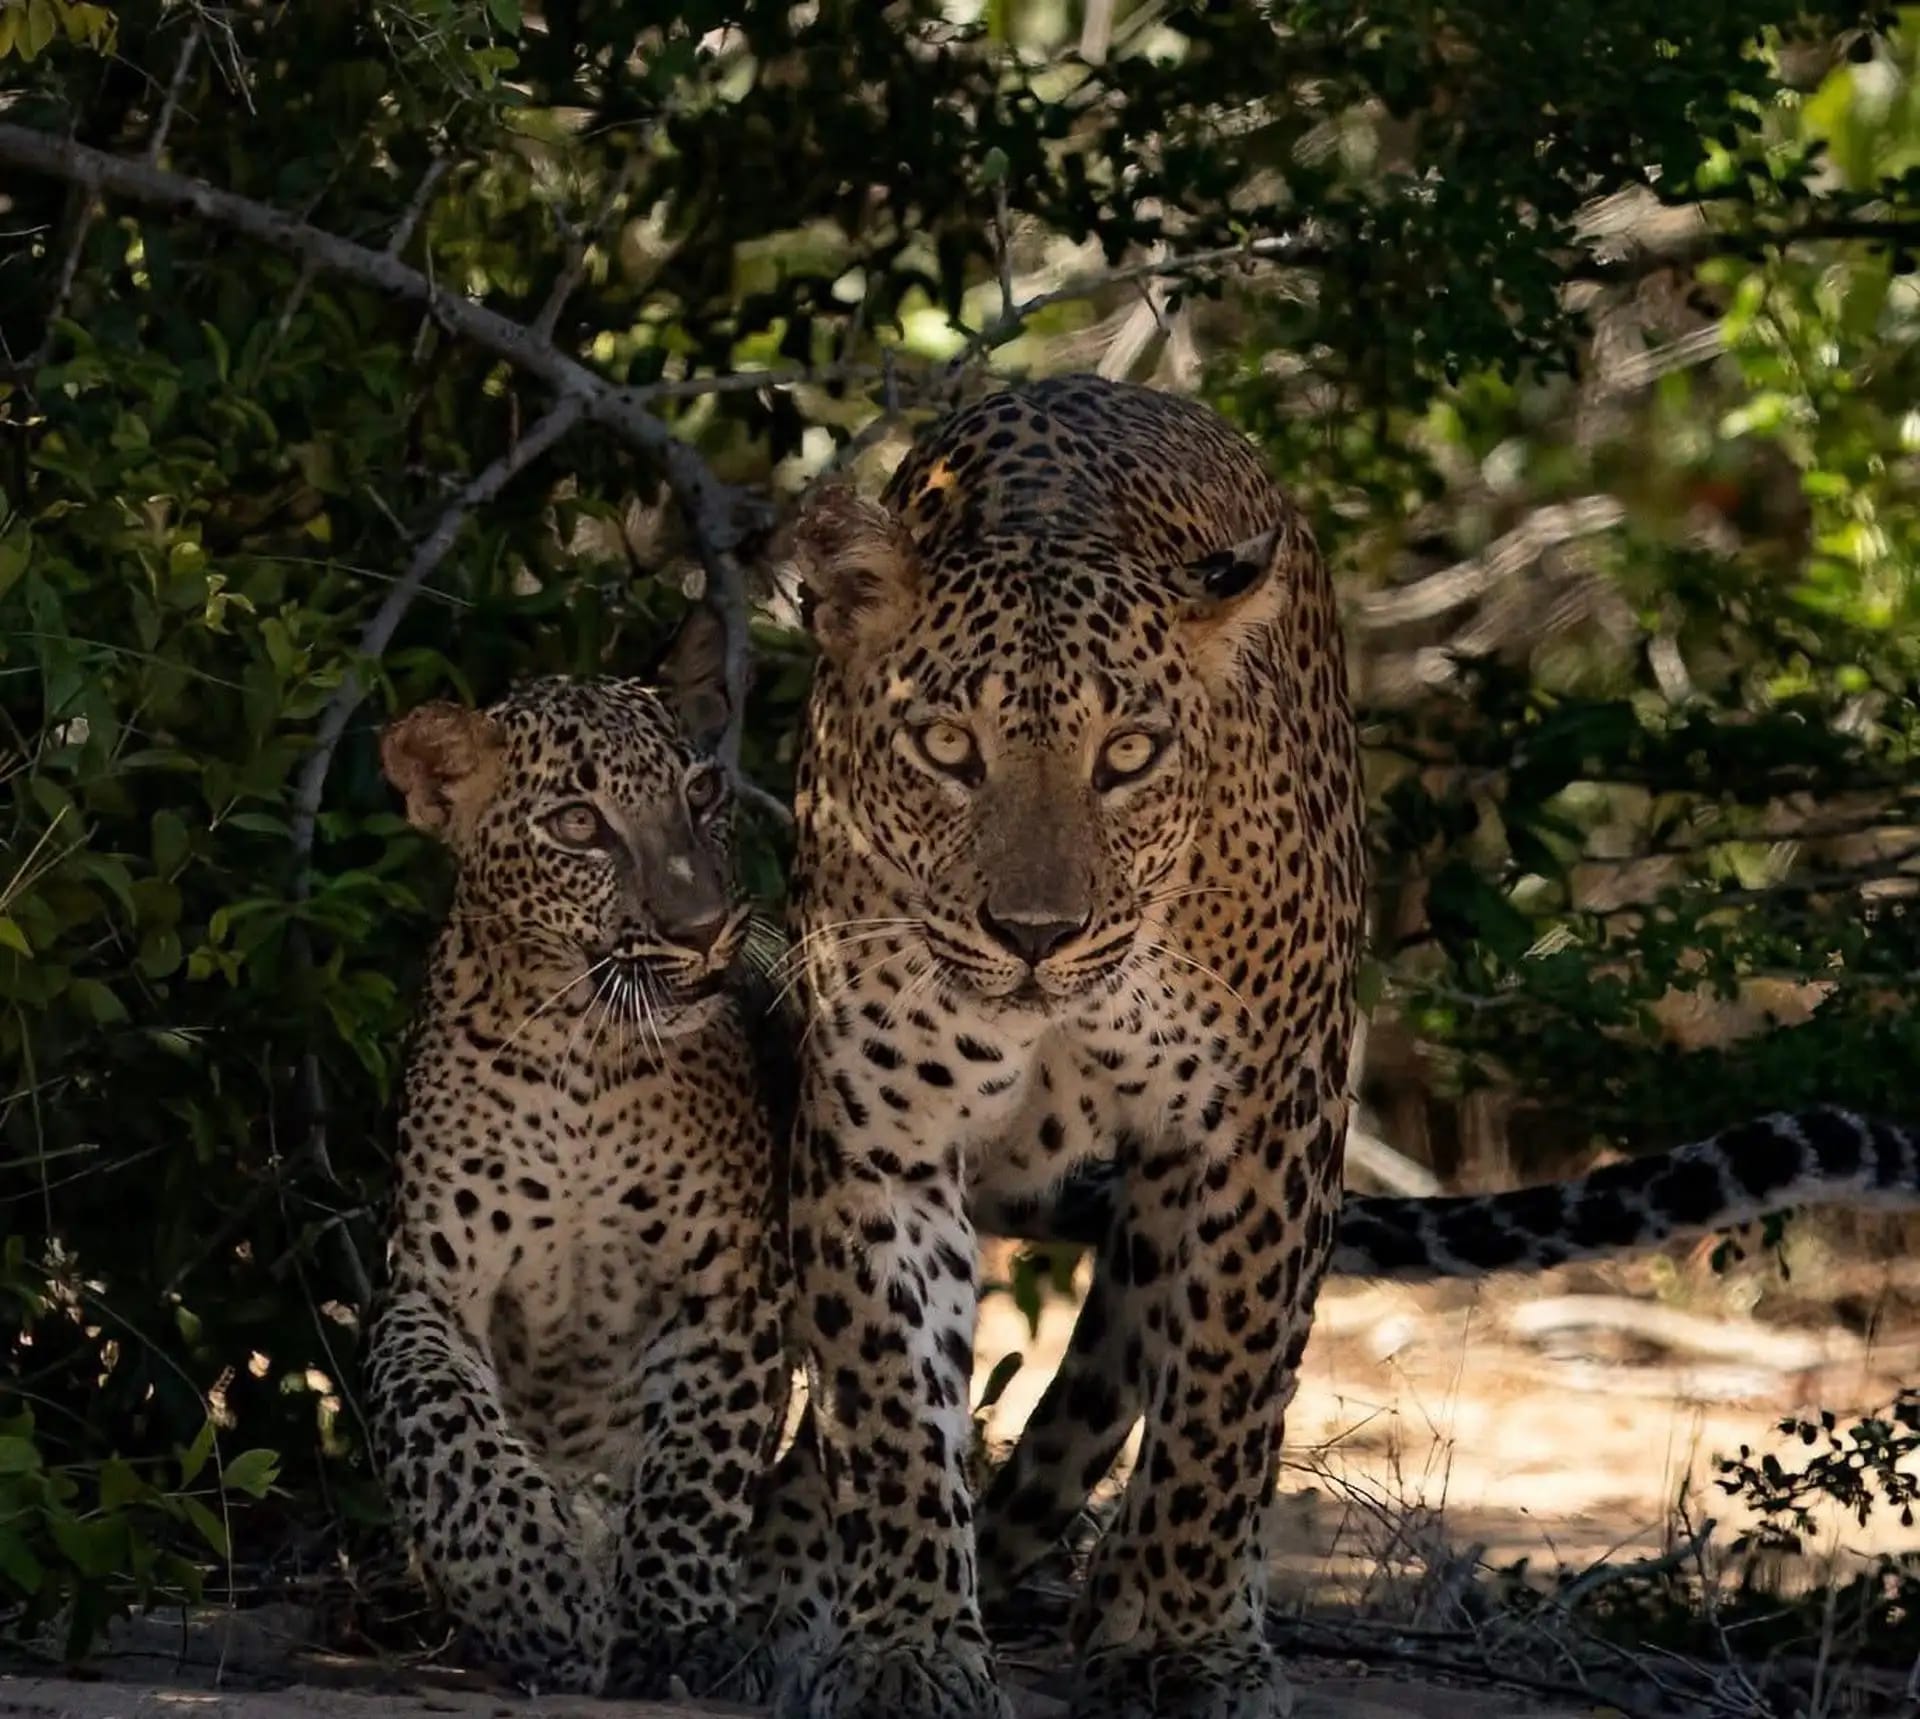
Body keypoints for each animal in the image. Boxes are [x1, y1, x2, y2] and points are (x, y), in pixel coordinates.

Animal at [362, 622, 789, 1701]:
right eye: (577, 824)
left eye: (701, 793)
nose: (701, 930)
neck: (582, 1065)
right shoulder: (427, 1290)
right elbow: (445, 1436)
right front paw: (540, 1599)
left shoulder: (728, 1288)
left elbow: (694, 1472)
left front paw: (671, 1625)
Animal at [769, 371, 1920, 1719]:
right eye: (948, 748)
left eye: (1128, 756)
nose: (1037, 935)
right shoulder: (881, 1138)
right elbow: (893, 1404)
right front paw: (904, 1647)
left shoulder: (1268, 1123)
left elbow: (1224, 1405)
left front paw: (1193, 1645)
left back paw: (1117, 1606)